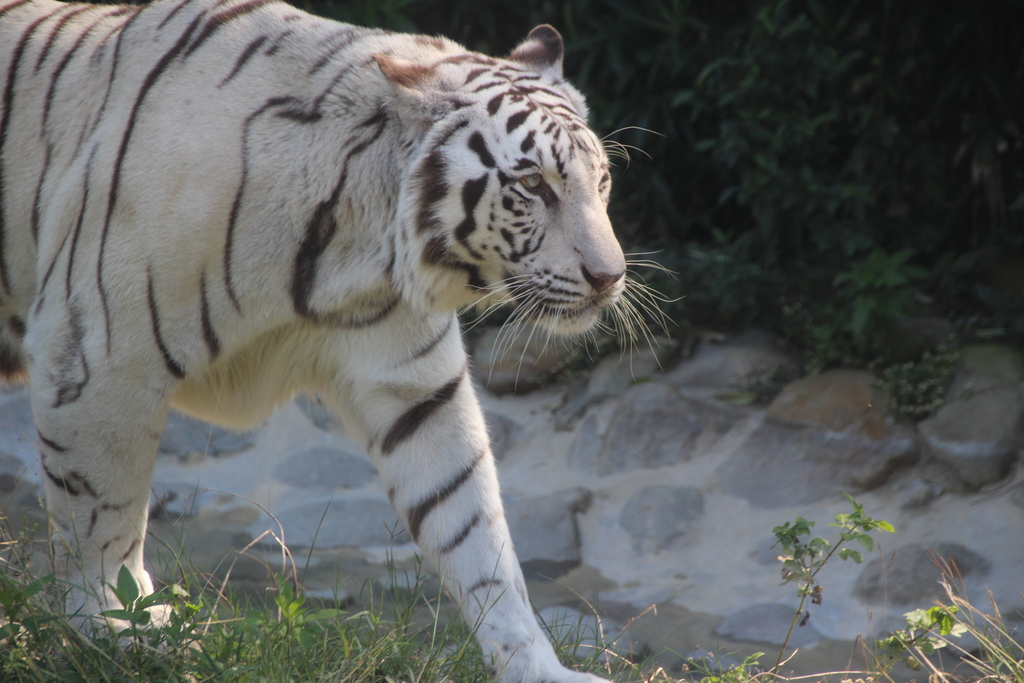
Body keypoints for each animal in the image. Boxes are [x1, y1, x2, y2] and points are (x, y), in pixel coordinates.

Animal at [0, 2, 622, 679]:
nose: (609, 277)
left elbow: (472, 527)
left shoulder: (415, 388)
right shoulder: (97, 356)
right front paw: (118, 631)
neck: (358, 242)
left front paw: (537, 665)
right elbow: (103, 515)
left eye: (602, 181)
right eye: (534, 185)